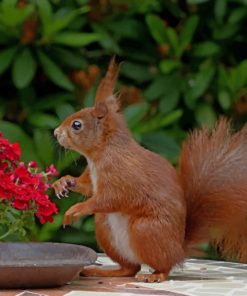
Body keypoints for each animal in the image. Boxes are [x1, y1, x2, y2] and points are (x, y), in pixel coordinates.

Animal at [52, 57, 247, 282]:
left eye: (77, 125)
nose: (55, 132)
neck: (101, 154)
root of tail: (179, 248)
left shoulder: (121, 175)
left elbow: (109, 198)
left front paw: (76, 209)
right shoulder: (93, 178)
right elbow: (87, 188)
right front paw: (63, 182)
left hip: (146, 230)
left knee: (163, 265)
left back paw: (155, 275)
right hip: (105, 227)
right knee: (131, 268)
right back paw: (101, 271)